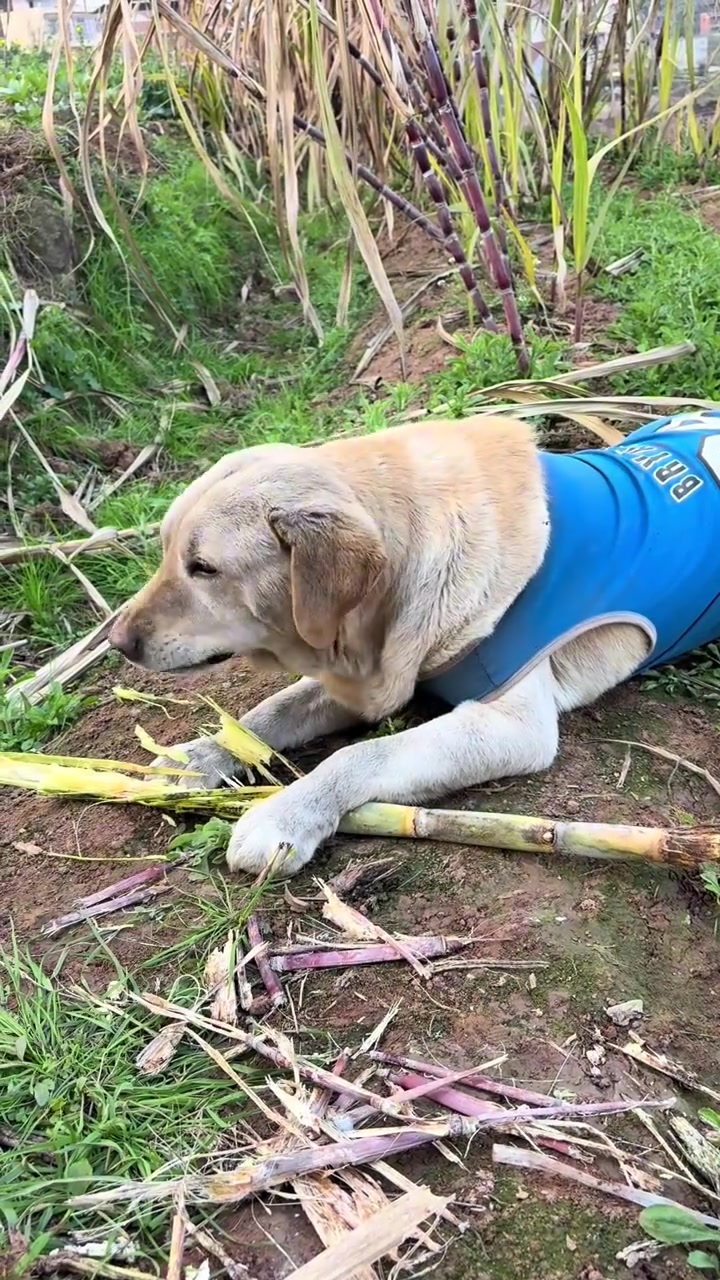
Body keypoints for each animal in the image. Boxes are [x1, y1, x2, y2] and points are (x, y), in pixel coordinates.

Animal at [106, 414, 717, 875]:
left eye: (204, 568)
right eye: (165, 550)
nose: (116, 641)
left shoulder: (513, 727)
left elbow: (359, 754)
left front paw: (286, 814)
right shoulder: (360, 679)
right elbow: (264, 714)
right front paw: (196, 757)